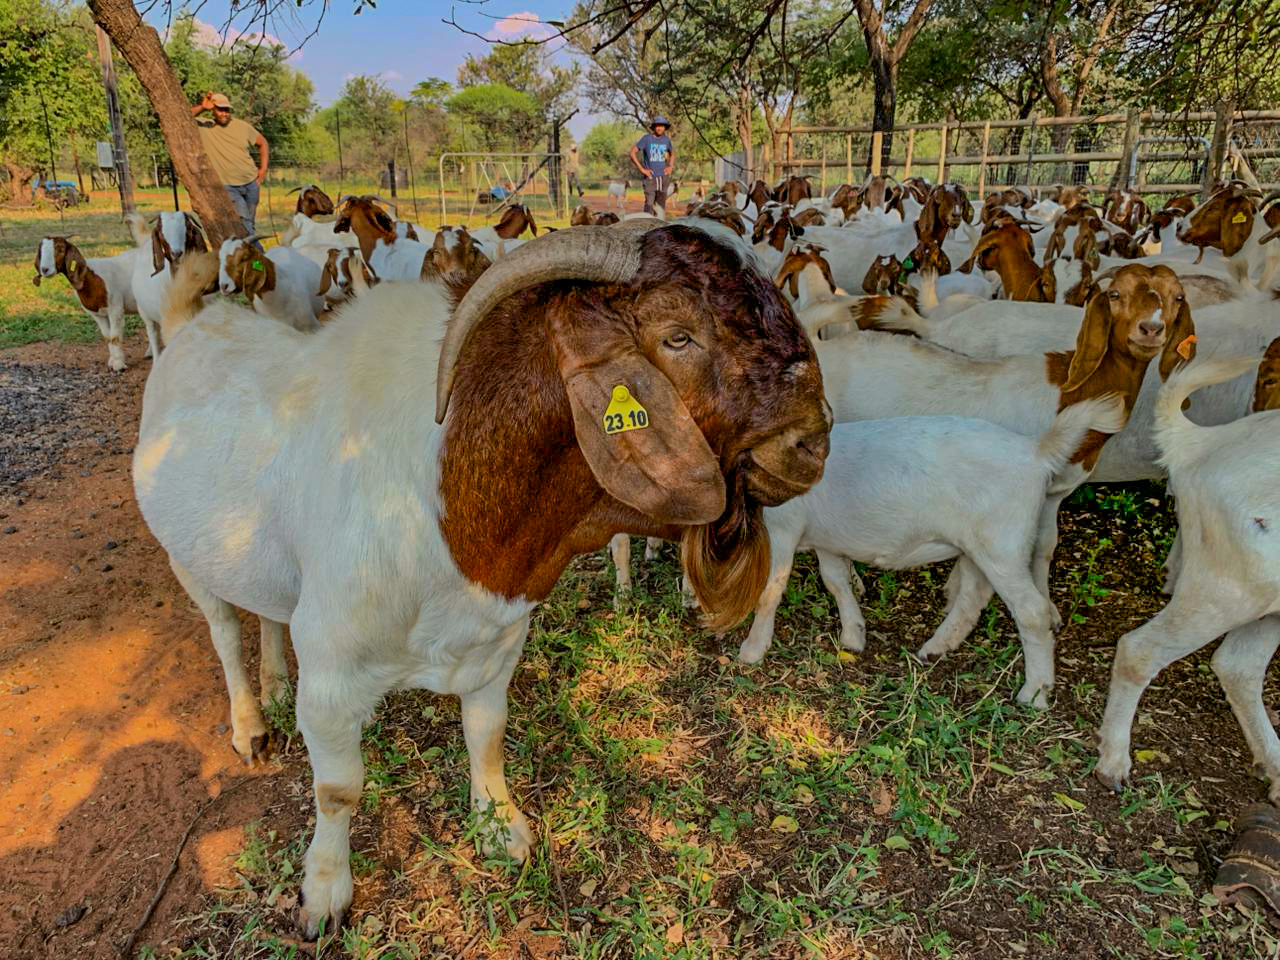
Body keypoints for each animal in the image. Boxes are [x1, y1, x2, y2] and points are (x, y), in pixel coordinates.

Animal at [33, 233, 144, 371]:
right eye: (41, 251)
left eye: (60, 249)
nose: (45, 269)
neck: (91, 279)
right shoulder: (97, 315)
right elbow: (107, 336)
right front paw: (112, 361)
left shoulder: (115, 309)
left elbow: (114, 337)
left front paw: (119, 365)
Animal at [135, 222, 831, 937]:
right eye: (678, 335)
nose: (812, 443)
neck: (452, 485)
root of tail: (193, 323)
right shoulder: (331, 666)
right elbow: (337, 789)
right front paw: (325, 892)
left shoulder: (496, 641)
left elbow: (486, 735)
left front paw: (501, 831)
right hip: (187, 561)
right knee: (224, 632)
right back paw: (251, 723)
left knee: (268, 614)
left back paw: (274, 684)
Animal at [742, 396, 1125, 707]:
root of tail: (1037, 451)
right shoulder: (826, 539)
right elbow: (836, 581)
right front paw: (853, 637)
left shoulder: (782, 528)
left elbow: (770, 588)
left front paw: (752, 651)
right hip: (977, 546)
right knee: (973, 596)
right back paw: (934, 649)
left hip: (1002, 542)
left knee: (1031, 610)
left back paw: (1034, 694)